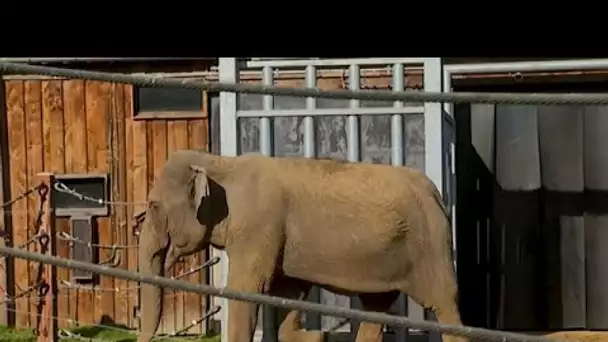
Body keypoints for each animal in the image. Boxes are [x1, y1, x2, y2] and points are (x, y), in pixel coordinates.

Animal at [135, 151, 464, 342]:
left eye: (153, 205)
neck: (221, 162)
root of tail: (437, 193)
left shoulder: (259, 226)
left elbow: (246, 292)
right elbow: (289, 295)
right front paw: (310, 334)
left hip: (430, 244)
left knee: (444, 305)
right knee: (376, 309)